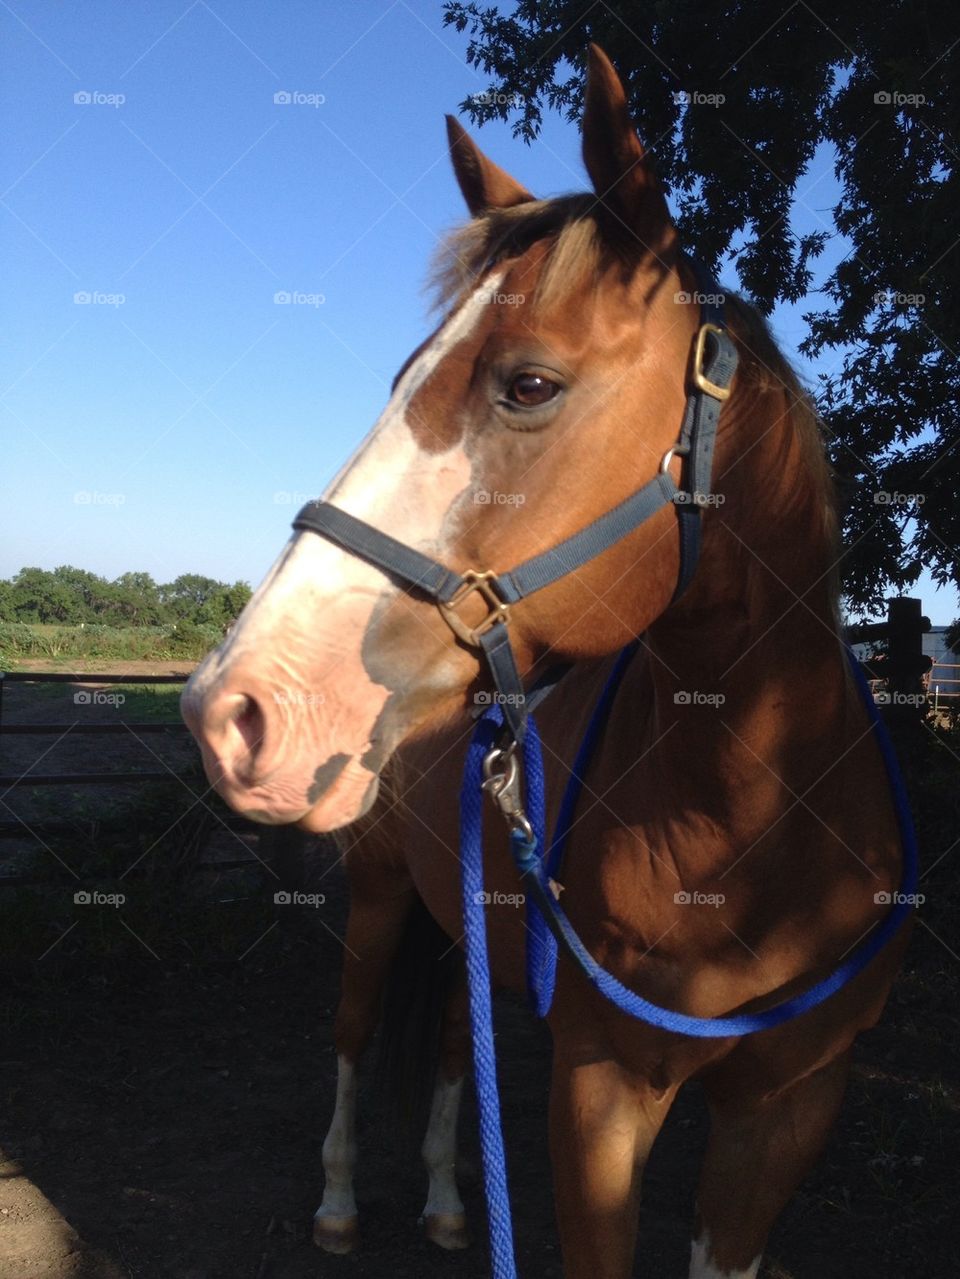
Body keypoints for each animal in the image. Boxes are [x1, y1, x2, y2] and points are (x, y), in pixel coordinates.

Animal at [180, 42, 910, 1279]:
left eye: (527, 385)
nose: (232, 711)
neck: (753, 823)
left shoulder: (788, 1106)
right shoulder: (601, 1088)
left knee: (446, 1050)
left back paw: (444, 1202)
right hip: (379, 901)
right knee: (354, 1036)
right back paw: (340, 1204)